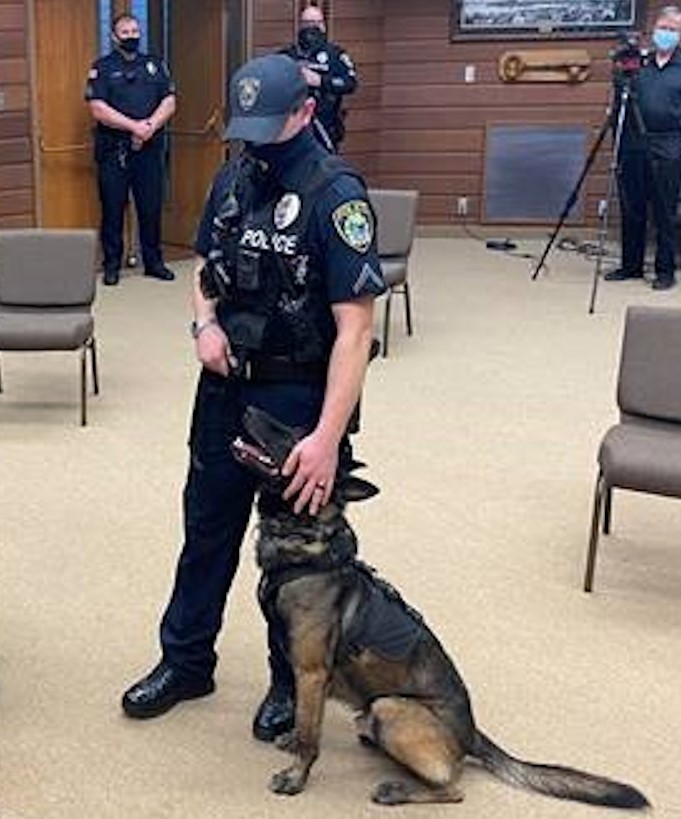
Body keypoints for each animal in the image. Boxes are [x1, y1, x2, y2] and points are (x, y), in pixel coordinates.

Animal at [232, 406, 648, 812]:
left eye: (297, 439)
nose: (248, 407)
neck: (304, 537)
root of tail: (472, 732)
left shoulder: (311, 673)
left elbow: (309, 735)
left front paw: (296, 777)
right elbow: (305, 721)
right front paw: (291, 742)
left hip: (391, 707)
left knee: (452, 786)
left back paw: (398, 790)